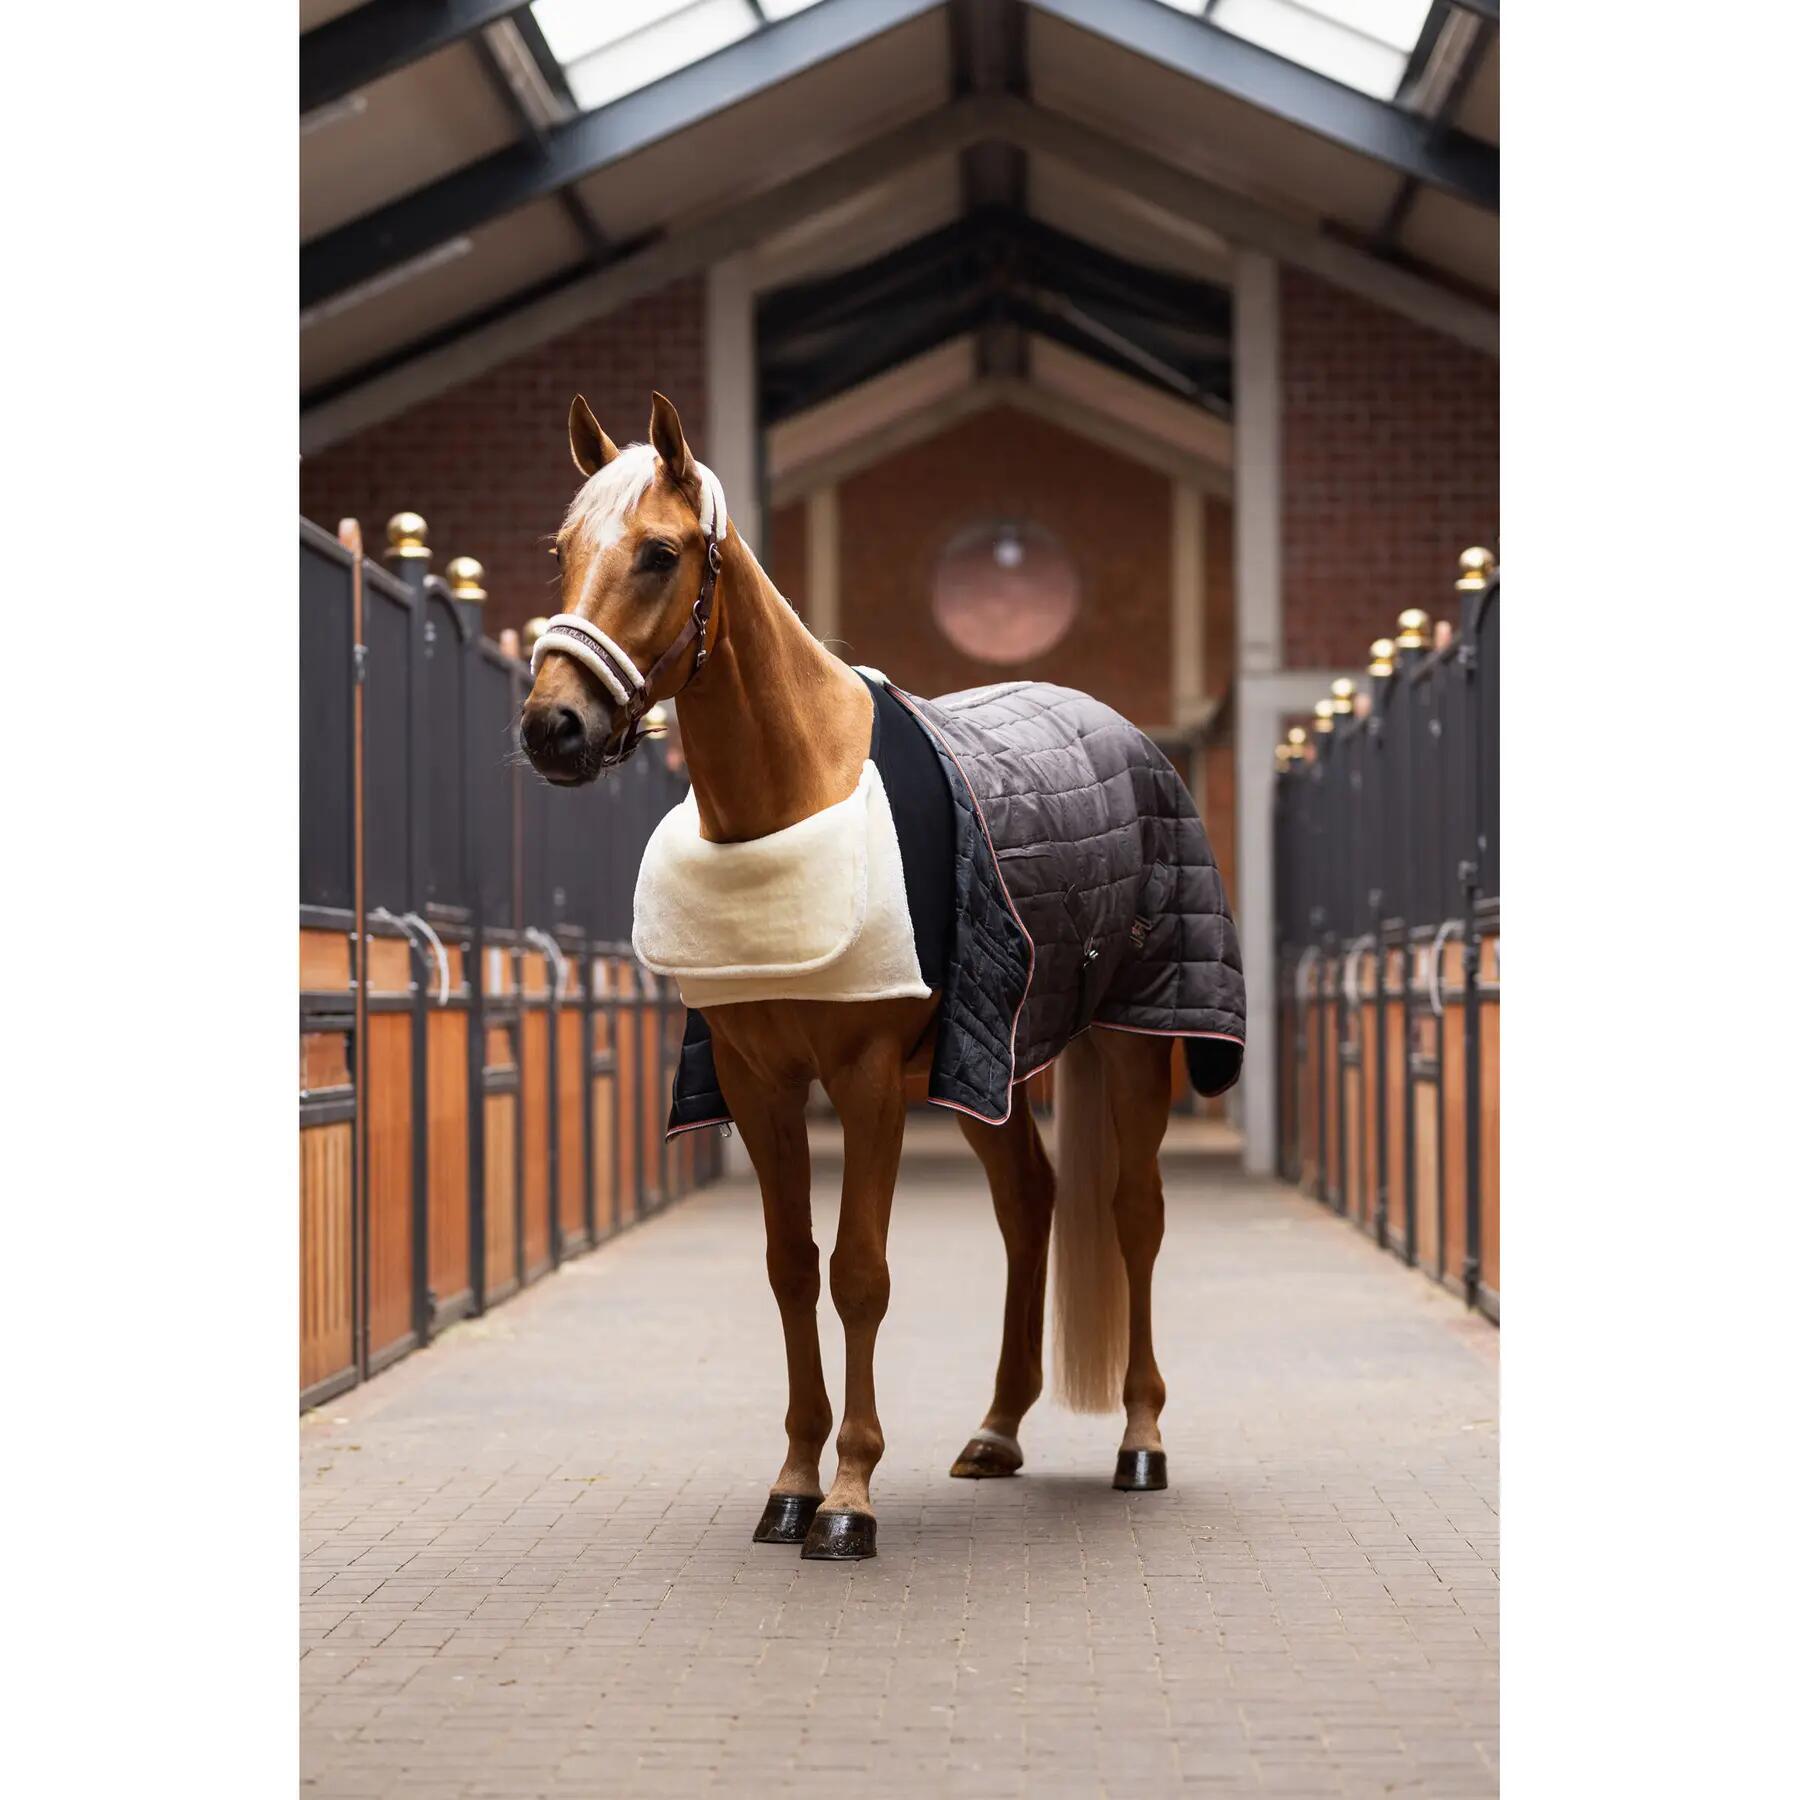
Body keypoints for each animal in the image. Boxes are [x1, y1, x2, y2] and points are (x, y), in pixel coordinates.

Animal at [519, 392, 1244, 1561]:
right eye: (563, 551)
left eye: (660, 554)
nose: (553, 727)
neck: (797, 793)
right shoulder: (759, 1082)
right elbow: (790, 1267)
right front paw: (791, 1486)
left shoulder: (864, 1081)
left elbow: (860, 1270)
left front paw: (850, 1501)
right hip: (993, 1065)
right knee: (1030, 1204)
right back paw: (996, 1431)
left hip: (1136, 1039)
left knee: (1135, 1214)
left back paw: (1141, 1442)